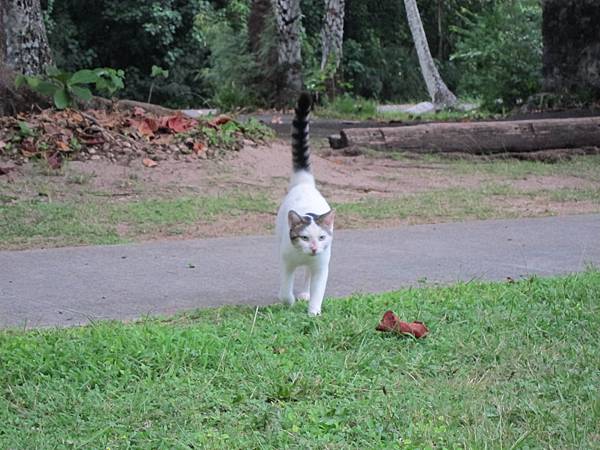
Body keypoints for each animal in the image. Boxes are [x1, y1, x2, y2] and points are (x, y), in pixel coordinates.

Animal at [276, 92, 332, 314]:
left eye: (322, 237)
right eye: (305, 238)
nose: (315, 248)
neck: (304, 256)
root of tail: (305, 183)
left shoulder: (321, 266)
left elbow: (318, 289)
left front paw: (313, 312)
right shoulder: (286, 263)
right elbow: (284, 290)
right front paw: (288, 301)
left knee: (308, 275)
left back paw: (305, 293)